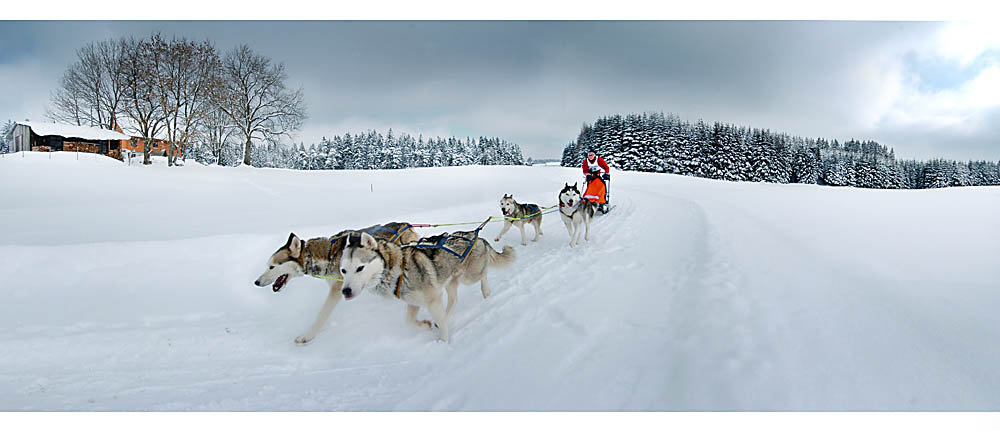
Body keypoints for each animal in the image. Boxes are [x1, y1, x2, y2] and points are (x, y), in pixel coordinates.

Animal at [254, 223, 422, 344]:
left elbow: (321, 315)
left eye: (272, 267)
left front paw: (307, 336)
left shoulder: (336, 290)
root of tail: (407, 225)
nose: (256, 282)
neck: (327, 255)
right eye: (268, 265)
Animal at [342, 230, 520, 340]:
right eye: (343, 270)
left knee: (484, 273)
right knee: (453, 301)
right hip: (450, 281)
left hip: (469, 277)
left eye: (360, 268)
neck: (399, 267)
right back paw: (444, 318)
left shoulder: (432, 299)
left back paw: (486, 291)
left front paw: (444, 342)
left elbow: (440, 327)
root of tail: (477, 237)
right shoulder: (414, 302)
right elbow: (409, 322)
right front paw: (426, 325)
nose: (345, 291)